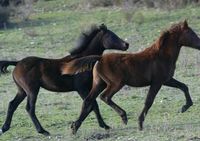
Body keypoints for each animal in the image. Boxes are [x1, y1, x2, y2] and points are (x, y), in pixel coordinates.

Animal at [0, 24, 129, 135]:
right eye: (112, 36)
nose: (126, 44)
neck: (82, 60)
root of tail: (17, 63)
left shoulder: (88, 88)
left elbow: (93, 105)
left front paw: (104, 125)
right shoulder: (81, 88)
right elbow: (92, 104)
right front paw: (101, 125)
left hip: (22, 90)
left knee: (12, 105)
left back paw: (4, 128)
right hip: (32, 90)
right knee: (30, 108)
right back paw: (43, 131)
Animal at [63, 20, 200, 134]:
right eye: (191, 33)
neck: (161, 56)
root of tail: (100, 58)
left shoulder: (167, 80)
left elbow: (184, 86)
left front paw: (185, 107)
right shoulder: (157, 82)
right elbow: (149, 101)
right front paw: (140, 124)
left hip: (99, 83)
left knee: (88, 101)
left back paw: (75, 127)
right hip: (116, 83)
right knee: (105, 97)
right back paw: (123, 117)